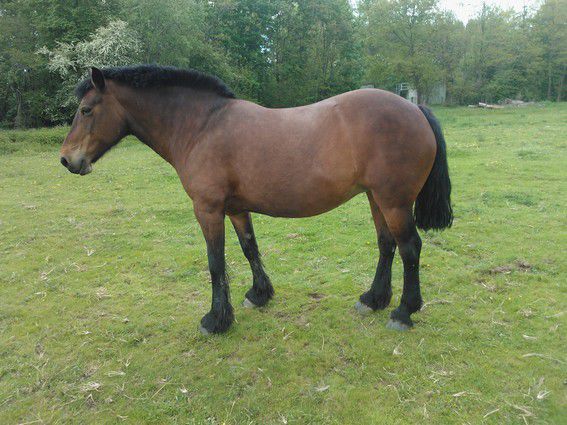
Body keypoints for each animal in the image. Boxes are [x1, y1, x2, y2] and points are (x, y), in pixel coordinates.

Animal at [60, 65, 453, 335]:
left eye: (86, 109)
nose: (66, 160)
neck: (201, 127)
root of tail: (415, 109)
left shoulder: (208, 210)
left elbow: (215, 262)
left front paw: (215, 319)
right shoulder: (236, 209)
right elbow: (249, 248)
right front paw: (259, 294)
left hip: (394, 202)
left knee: (410, 248)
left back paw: (403, 312)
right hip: (376, 198)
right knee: (387, 245)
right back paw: (373, 300)